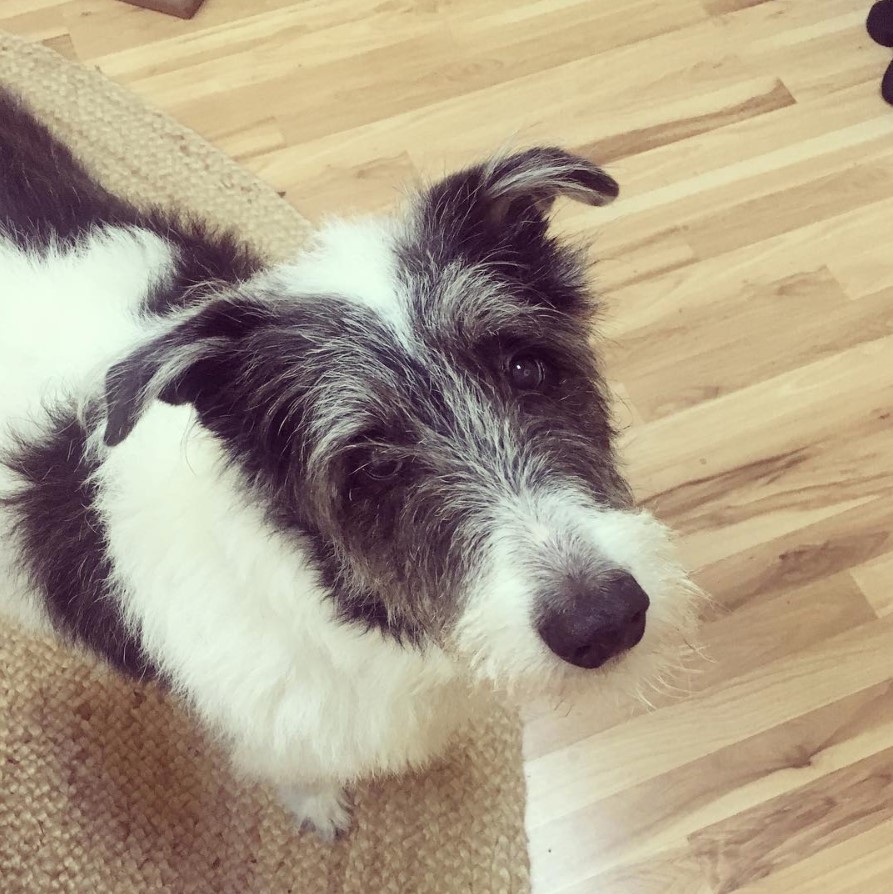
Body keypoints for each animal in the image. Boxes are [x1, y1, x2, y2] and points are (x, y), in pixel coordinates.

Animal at [0, 91, 696, 840]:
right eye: (372, 467)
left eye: (527, 368)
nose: (604, 623)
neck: (335, 598)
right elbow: (302, 774)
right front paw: (320, 810)